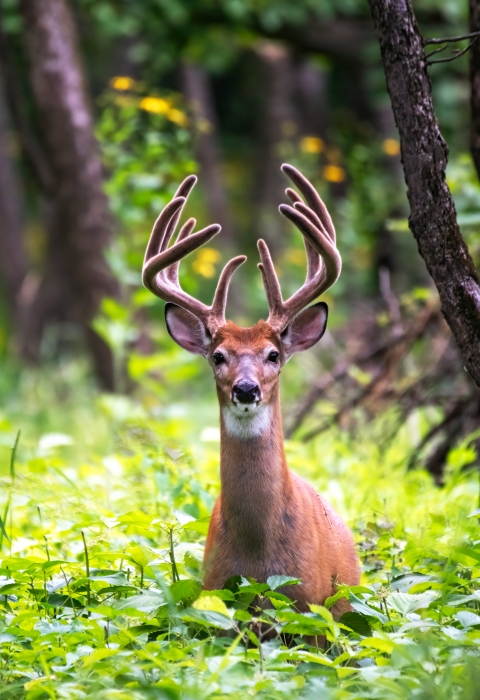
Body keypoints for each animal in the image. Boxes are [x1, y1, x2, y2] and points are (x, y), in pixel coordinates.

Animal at [142, 164, 360, 616]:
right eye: (217, 356)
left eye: (273, 354)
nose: (245, 390)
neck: (258, 556)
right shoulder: (216, 592)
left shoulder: (308, 604)